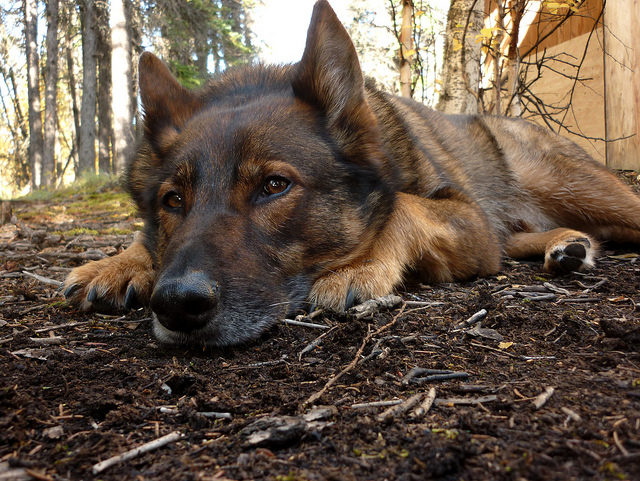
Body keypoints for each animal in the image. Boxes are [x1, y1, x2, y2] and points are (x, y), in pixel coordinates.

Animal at [62, 0, 640, 344]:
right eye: (173, 201)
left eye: (275, 186)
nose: (176, 304)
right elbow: (144, 241)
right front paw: (118, 263)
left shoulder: (469, 222)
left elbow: (403, 205)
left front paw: (361, 264)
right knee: (527, 237)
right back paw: (567, 245)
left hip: (587, 192)